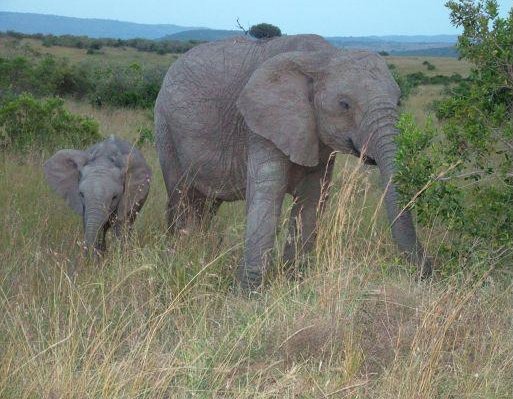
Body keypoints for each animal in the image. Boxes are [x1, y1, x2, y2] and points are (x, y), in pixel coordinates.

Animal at [154, 33, 430, 290]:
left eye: (398, 101)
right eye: (344, 105)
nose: (424, 272)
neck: (324, 57)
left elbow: (312, 200)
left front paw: (293, 281)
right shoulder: (261, 124)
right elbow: (268, 195)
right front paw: (247, 293)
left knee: (207, 204)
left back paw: (199, 251)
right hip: (165, 127)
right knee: (182, 196)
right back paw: (179, 254)